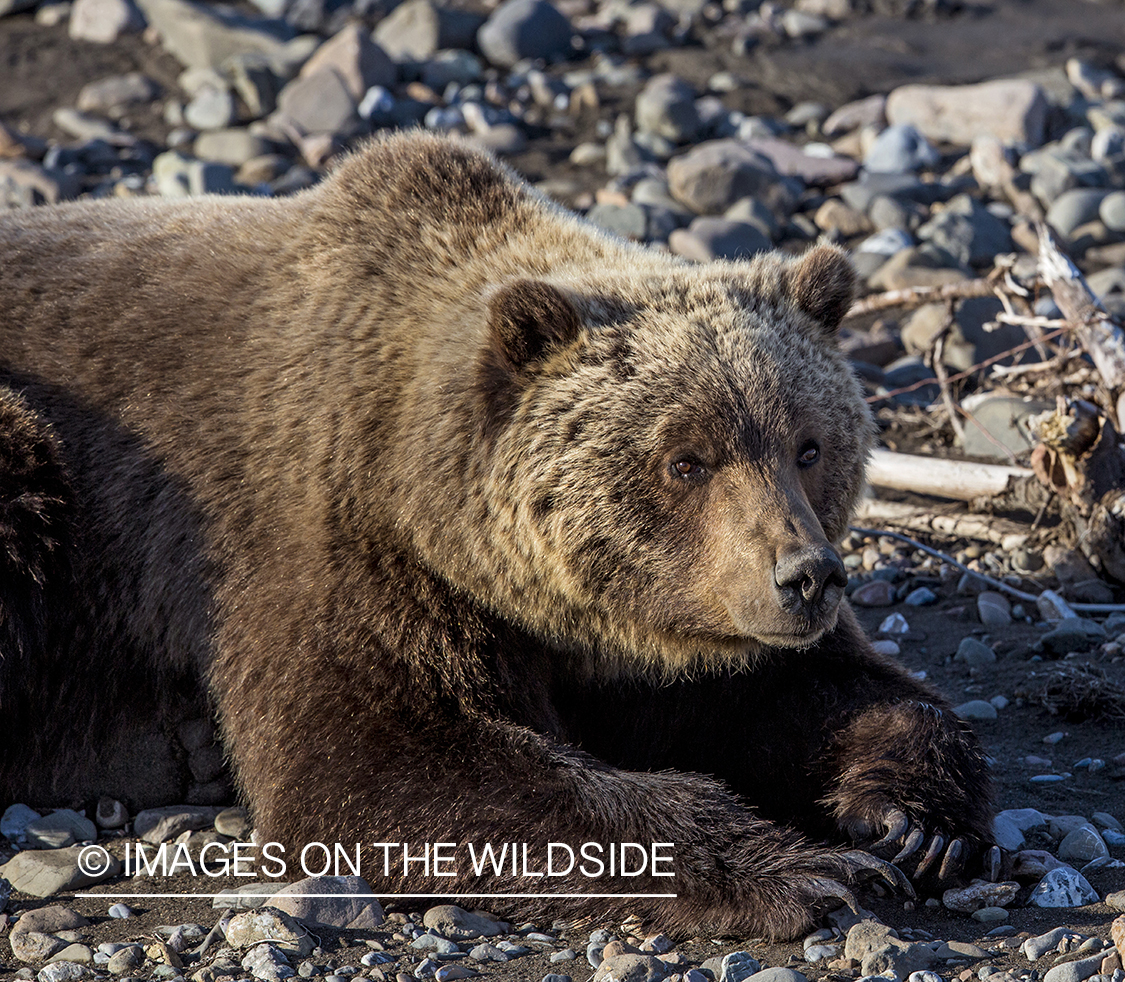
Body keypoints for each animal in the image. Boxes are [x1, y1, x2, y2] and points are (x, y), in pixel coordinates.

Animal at [0, 131, 995, 938]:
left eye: (808, 443)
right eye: (686, 459)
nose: (806, 576)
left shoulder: (660, 638)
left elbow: (824, 692)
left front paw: (907, 822)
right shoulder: (319, 540)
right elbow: (379, 762)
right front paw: (804, 869)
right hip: (41, 474)